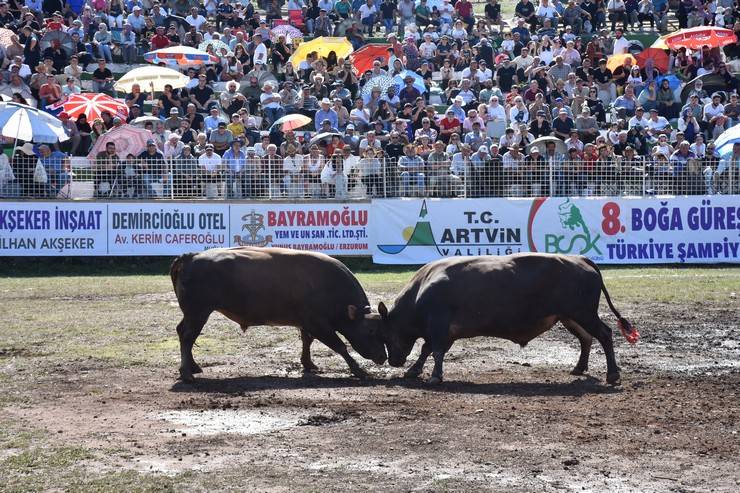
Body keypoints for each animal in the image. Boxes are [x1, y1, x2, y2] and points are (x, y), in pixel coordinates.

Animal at [170, 248, 384, 382]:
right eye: (371, 331)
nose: (383, 357)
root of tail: (191, 257)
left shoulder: (306, 323)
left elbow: (307, 341)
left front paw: (308, 364)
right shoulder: (318, 324)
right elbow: (340, 346)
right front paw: (359, 370)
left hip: (194, 314)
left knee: (184, 333)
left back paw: (193, 367)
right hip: (198, 313)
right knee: (187, 336)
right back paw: (187, 374)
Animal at [378, 254, 640, 384]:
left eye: (387, 334)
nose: (393, 361)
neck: (422, 289)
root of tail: (582, 260)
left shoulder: (439, 325)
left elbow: (435, 351)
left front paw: (434, 376)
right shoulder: (445, 331)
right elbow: (427, 349)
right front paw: (413, 370)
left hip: (583, 314)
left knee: (605, 334)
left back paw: (613, 375)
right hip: (570, 317)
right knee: (586, 339)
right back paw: (579, 368)